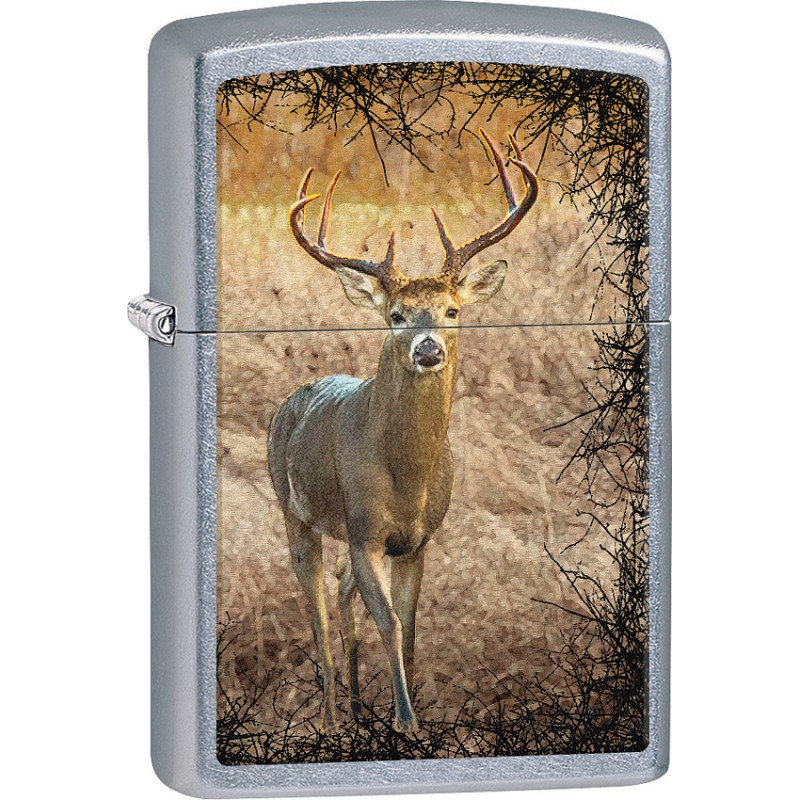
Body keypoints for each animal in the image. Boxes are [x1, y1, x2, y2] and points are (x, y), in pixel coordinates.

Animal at [267, 130, 539, 734]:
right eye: (396, 314)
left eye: (452, 309)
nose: (428, 349)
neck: (406, 476)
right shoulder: (366, 529)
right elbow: (389, 623)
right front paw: (405, 721)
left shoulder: (417, 540)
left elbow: (410, 629)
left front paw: (407, 717)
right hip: (295, 510)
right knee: (317, 612)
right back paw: (331, 716)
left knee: (341, 589)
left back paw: (353, 706)